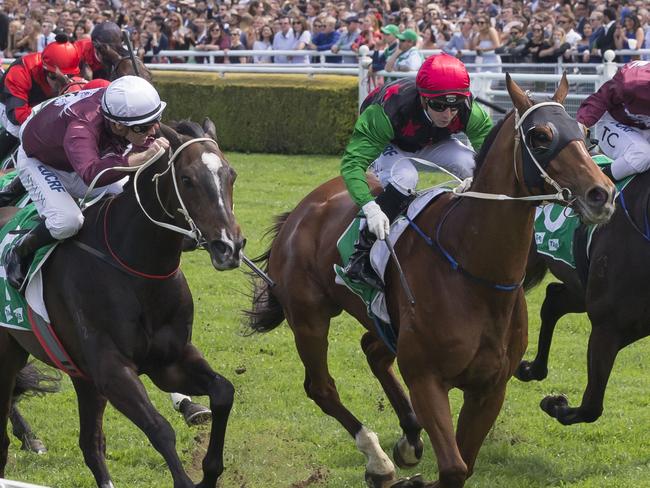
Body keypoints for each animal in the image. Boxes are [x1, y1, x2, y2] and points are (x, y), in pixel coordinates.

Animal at [0, 119, 243, 488]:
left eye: (231, 175)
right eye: (187, 179)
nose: (229, 246)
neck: (135, 267)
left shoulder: (168, 361)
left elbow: (223, 392)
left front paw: (210, 471)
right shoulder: (111, 368)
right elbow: (159, 429)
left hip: (80, 374)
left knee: (90, 444)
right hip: (9, 353)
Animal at [243, 73, 612, 488]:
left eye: (584, 132)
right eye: (540, 136)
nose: (602, 193)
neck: (475, 274)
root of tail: (301, 210)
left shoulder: (490, 388)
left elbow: (464, 464)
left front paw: (416, 457)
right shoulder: (426, 378)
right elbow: (453, 468)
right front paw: (414, 476)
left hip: (385, 321)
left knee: (373, 350)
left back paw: (408, 435)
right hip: (309, 316)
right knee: (321, 388)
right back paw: (378, 459)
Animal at [512, 170, 648, 426]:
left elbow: (591, 407)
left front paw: (555, 403)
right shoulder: (607, 325)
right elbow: (591, 407)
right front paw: (555, 404)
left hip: (580, 287)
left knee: (553, 301)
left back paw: (530, 368)